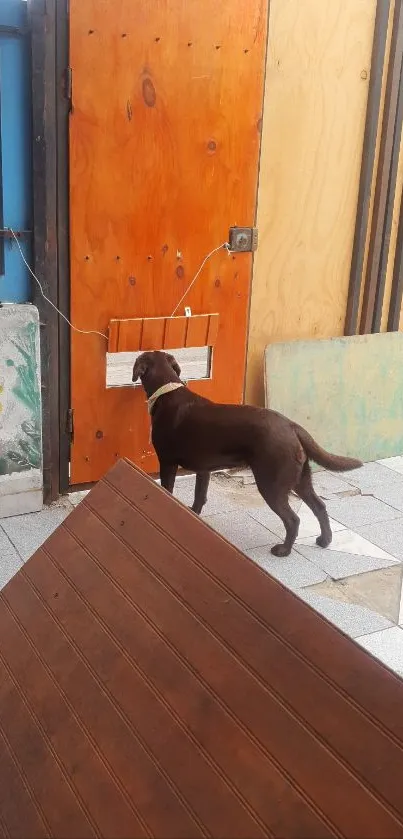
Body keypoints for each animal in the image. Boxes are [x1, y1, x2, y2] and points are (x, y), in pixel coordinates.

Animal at [133, 350, 362, 556]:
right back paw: (325, 540)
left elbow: (168, 491)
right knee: (320, 506)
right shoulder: (204, 469)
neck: (167, 390)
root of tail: (292, 426)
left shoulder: (167, 462)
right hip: (301, 479)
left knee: (293, 519)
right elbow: (199, 497)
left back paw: (284, 550)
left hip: (272, 484)